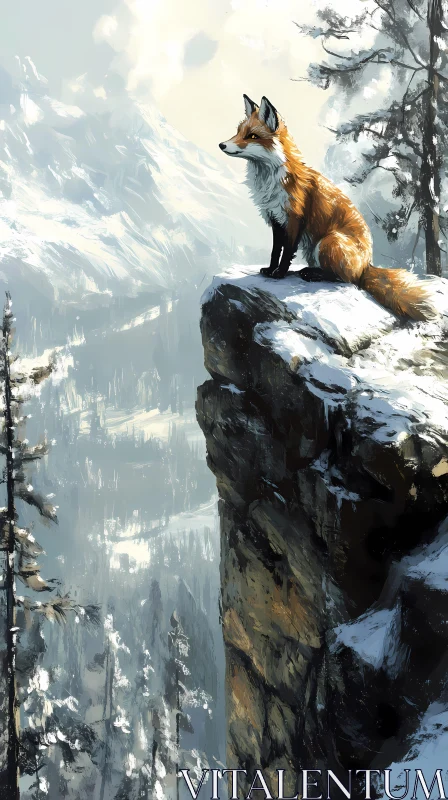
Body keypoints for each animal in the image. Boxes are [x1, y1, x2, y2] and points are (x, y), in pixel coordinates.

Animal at [219, 94, 437, 321]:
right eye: (238, 132)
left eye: (252, 136)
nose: (221, 145)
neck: (272, 181)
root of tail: (366, 266)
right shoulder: (275, 218)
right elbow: (275, 251)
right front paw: (270, 269)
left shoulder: (295, 219)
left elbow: (287, 252)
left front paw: (279, 273)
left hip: (328, 242)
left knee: (346, 278)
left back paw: (312, 274)